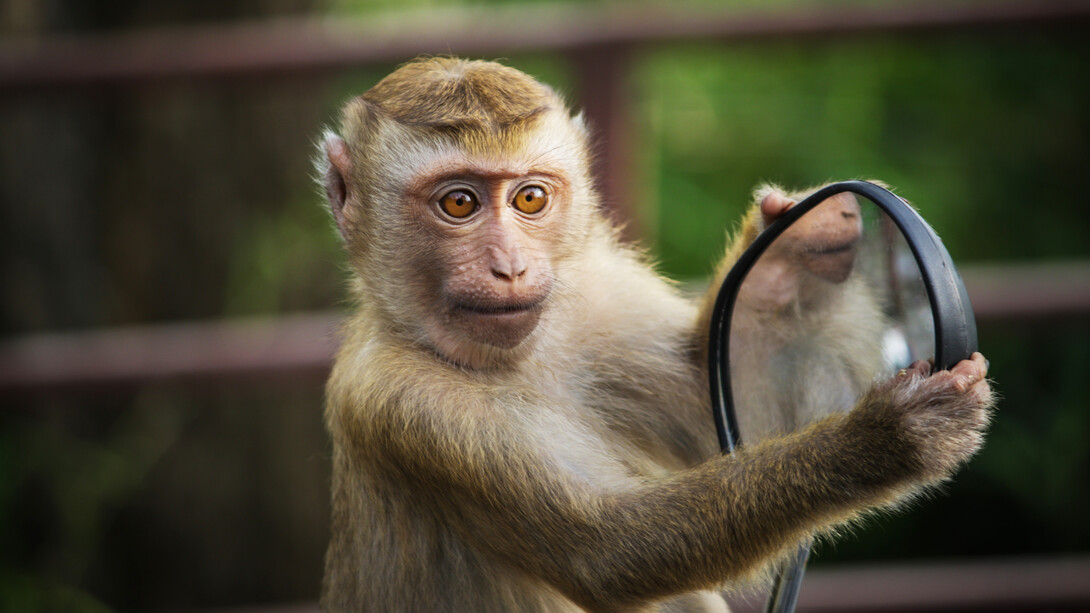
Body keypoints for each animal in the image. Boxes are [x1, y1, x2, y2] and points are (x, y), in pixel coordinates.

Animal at [316, 54, 998, 606]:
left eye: (530, 199)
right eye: (458, 203)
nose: (509, 267)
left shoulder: (599, 298)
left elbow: (719, 404)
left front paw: (791, 248)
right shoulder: (402, 402)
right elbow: (609, 551)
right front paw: (882, 440)